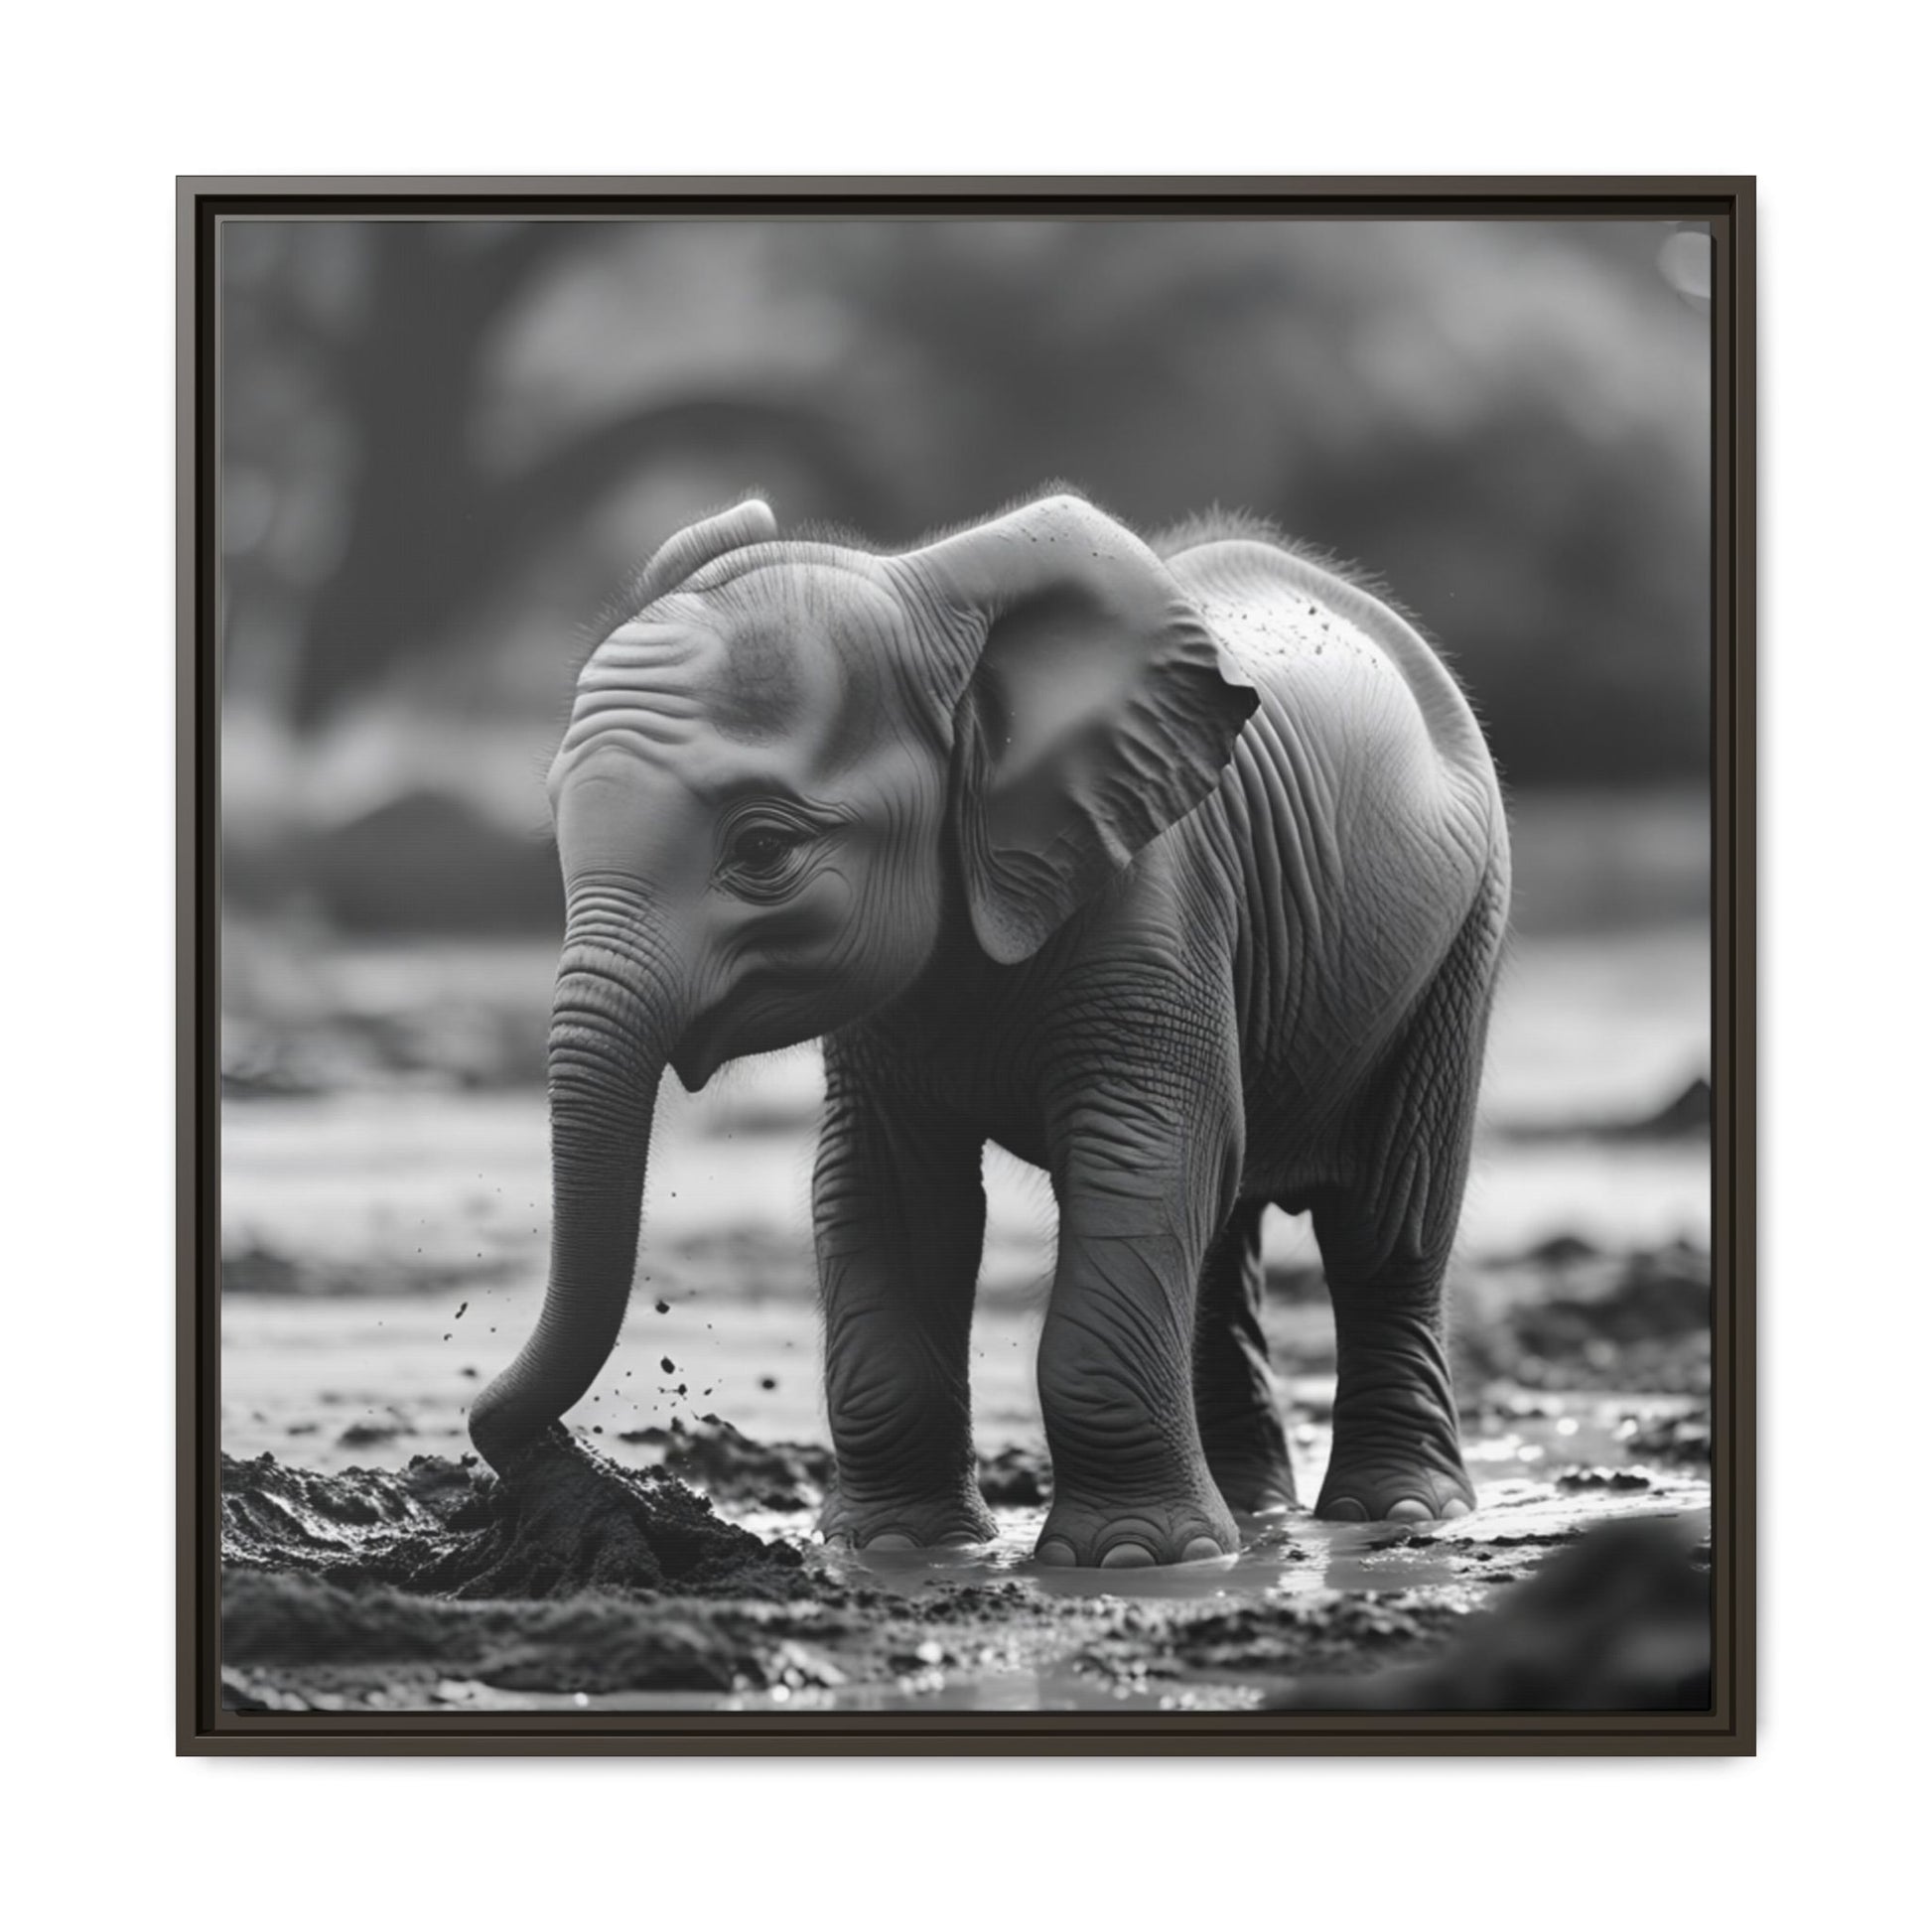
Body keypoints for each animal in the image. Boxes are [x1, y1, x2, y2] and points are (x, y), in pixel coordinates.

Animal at [468, 489, 1510, 1569]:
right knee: (1225, 1233)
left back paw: (1396, 1511)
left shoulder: (1157, 894)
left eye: (761, 848)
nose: (557, 1463)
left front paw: (1130, 1559)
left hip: (1462, 932)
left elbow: (1141, 1155)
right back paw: (1253, 1515)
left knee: (1385, 1222)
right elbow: (886, 1191)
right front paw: (896, 1548)